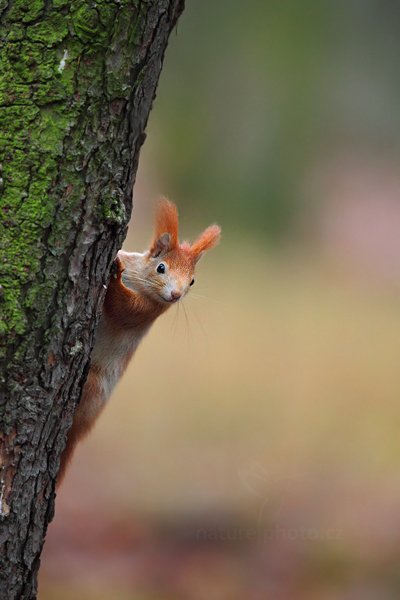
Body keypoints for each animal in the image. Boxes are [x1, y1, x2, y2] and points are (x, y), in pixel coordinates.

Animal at [58, 198, 222, 482]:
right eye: (161, 267)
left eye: (192, 281)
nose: (176, 295)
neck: (139, 280)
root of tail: (80, 431)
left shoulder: (146, 310)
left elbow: (123, 308)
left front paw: (114, 277)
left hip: (94, 385)